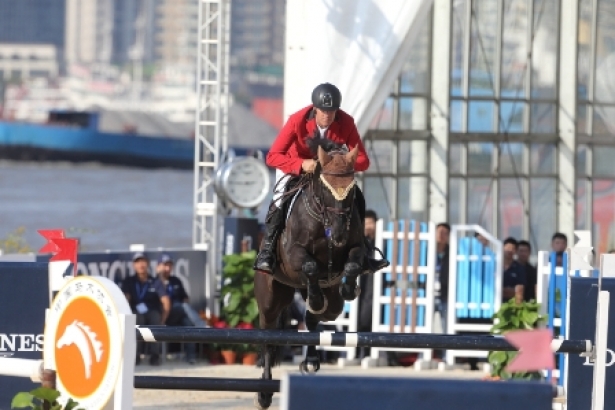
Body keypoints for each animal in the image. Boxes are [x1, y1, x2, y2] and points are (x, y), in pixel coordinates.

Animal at [254, 139, 366, 408]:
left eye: (351, 190)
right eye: (325, 187)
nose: (338, 235)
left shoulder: (356, 248)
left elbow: (352, 264)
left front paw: (349, 287)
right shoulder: (294, 252)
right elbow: (309, 266)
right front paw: (316, 298)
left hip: (332, 303)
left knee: (317, 318)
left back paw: (312, 359)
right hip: (271, 299)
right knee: (268, 337)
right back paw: (264, 393)